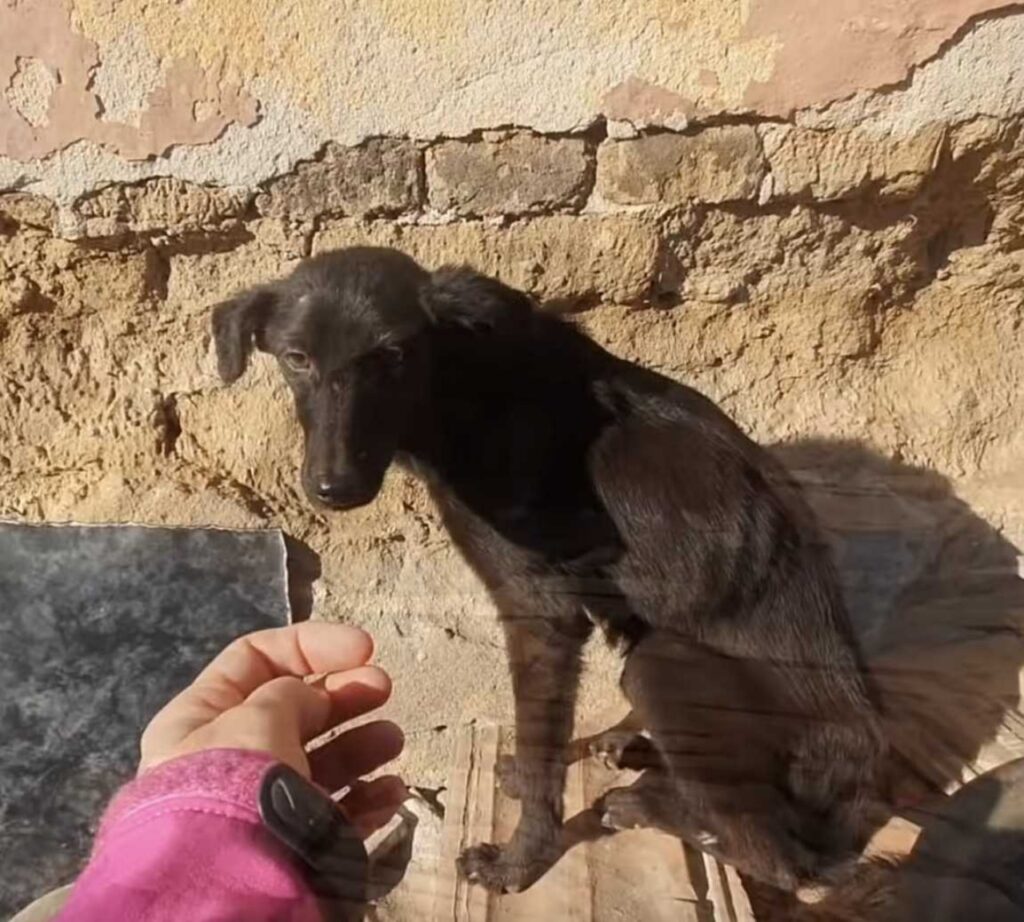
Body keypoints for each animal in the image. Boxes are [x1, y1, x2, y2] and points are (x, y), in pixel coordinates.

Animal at [214, 248, 888, 897]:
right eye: (297, 358)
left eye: (394, 357)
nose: (334, 489)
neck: (463, 383)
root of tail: (867, 779)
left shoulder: (541, 611)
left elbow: (541, 749)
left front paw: (520, 860)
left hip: (668, 667)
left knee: (781, 863)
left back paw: (650, 805)